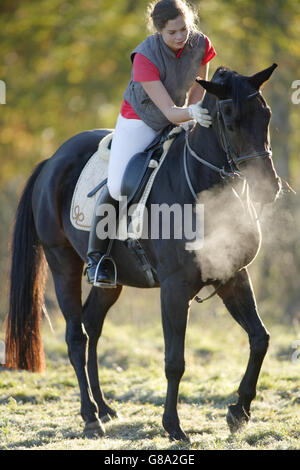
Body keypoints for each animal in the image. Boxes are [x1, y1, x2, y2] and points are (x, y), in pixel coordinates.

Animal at [4, 64, 282, 442]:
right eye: (229, 119)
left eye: (265, 114)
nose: (268, 188)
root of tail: (52, 160)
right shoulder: (175, 288)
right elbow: (175, 360)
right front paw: (173, 426)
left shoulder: (232, 276)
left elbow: (259, 339)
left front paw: (239, 411)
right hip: (63, 264)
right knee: (76, 336)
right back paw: (90, 417)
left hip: (113, 280)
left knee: (92, 326)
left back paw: (104, 408)